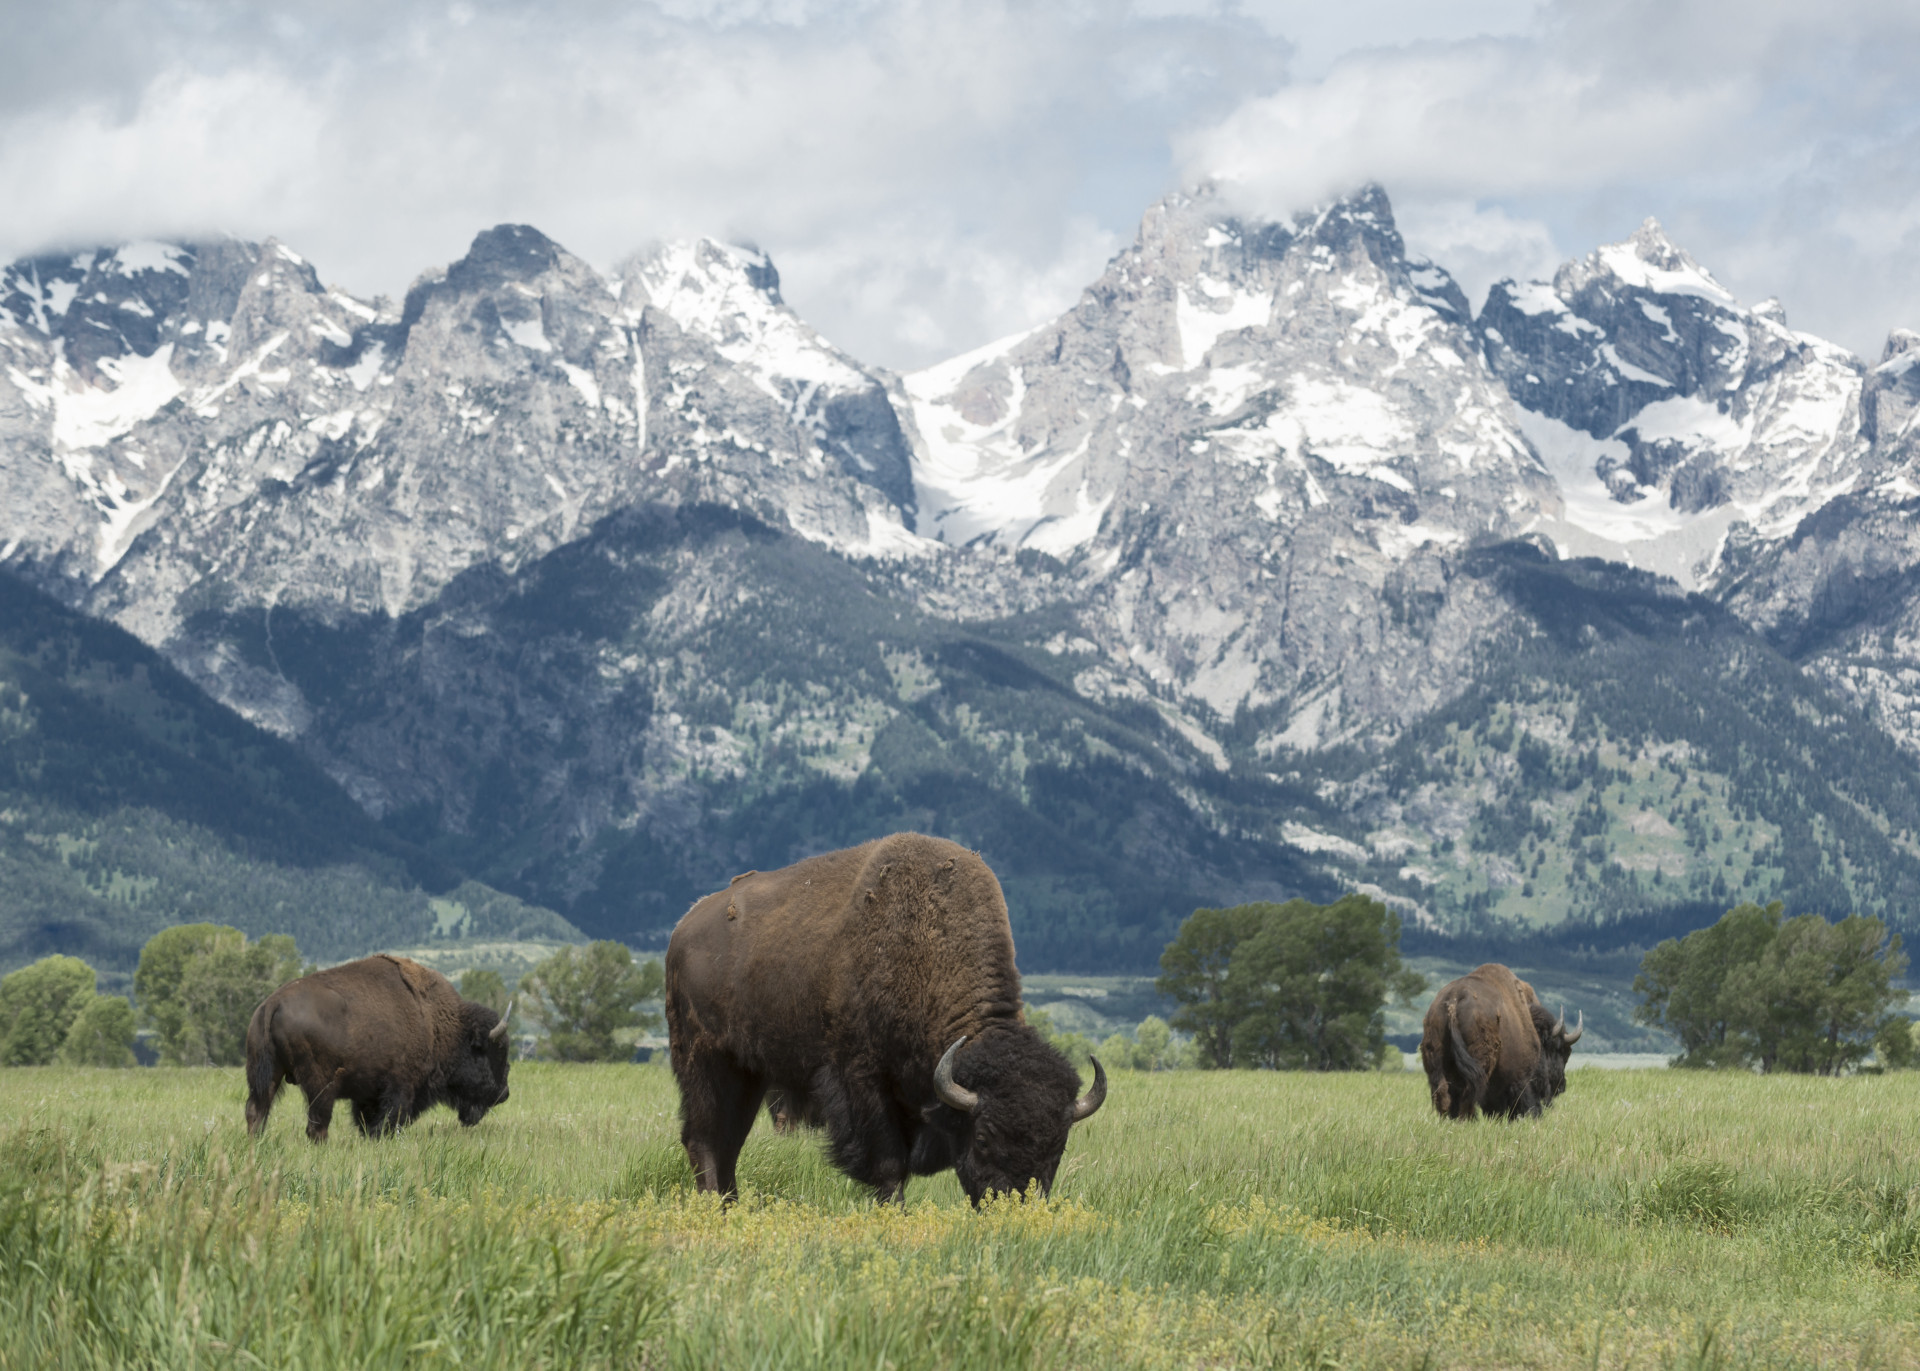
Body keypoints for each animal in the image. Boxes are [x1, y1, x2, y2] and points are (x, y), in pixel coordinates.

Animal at [243, 944, 514, 1136]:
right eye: (494, 1052)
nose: (504, 1093)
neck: (440, 1024)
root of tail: (272, 1003)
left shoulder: (369, 1094)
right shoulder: (401, 1087)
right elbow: (388, 1120)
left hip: (265, 1074)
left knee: (256, 1112)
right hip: (321, 1084)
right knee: (316, 1124)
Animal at [664, 829, 1105, 1198]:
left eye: (1059, 1144)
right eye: (982, 1137)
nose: (1016, 1202)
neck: (929, 947)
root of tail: (682, 929)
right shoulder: (864, 1082)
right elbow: (889, 1165)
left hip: (750, 1074)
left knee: (729, 1142)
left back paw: (729, 1205)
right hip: (706, 1062)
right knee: (705, 1138)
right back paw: (713, 1205)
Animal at [1420, 956, 1582, 1113]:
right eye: (1561, 1051)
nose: (1561, 1087)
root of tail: (1454, 1001)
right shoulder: (1522, 1079)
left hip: (1436, 1065)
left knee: (1444, 1096)